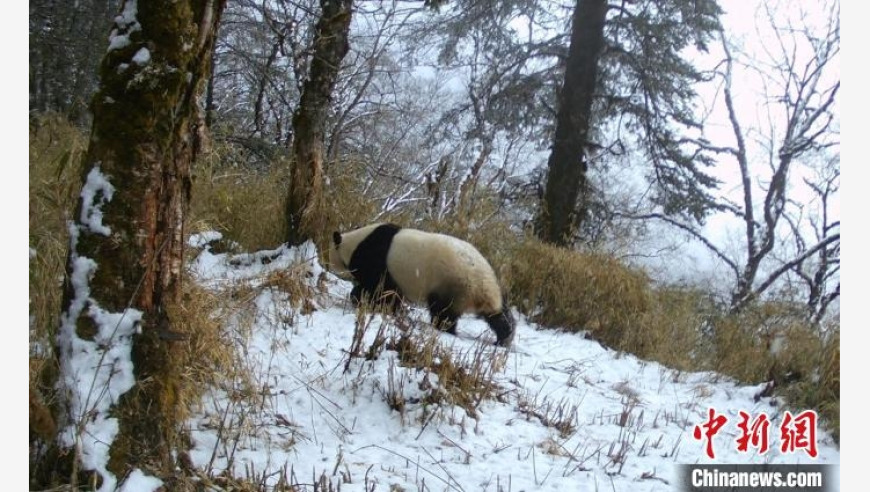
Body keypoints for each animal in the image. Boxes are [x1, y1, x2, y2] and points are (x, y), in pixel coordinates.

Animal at [330, 223, 516, 346]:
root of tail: (483, 286)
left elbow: (378, 287)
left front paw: (360, 299)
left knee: (443, 312)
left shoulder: (376, 259)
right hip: (486, 289)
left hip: (452, 282)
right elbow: (391, 294)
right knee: (497, 315)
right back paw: (505, 337)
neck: (355, 243)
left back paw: (444, 329)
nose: (327, 264)